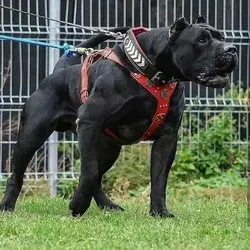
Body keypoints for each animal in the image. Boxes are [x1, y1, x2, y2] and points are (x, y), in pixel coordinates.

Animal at [0, 16, 238, 218]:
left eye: (222, 37)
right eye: (201, 40)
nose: (233, 49)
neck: (151, 71)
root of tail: (58, 72)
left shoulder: (168, 137)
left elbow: (159, 179)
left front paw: (160, 212)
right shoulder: (89, 120)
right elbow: (88, 172)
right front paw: (77, 205)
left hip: (108, 147)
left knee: (97, 175)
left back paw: (108, 205)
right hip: (32, 137)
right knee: (17, 175)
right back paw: (7, 207)